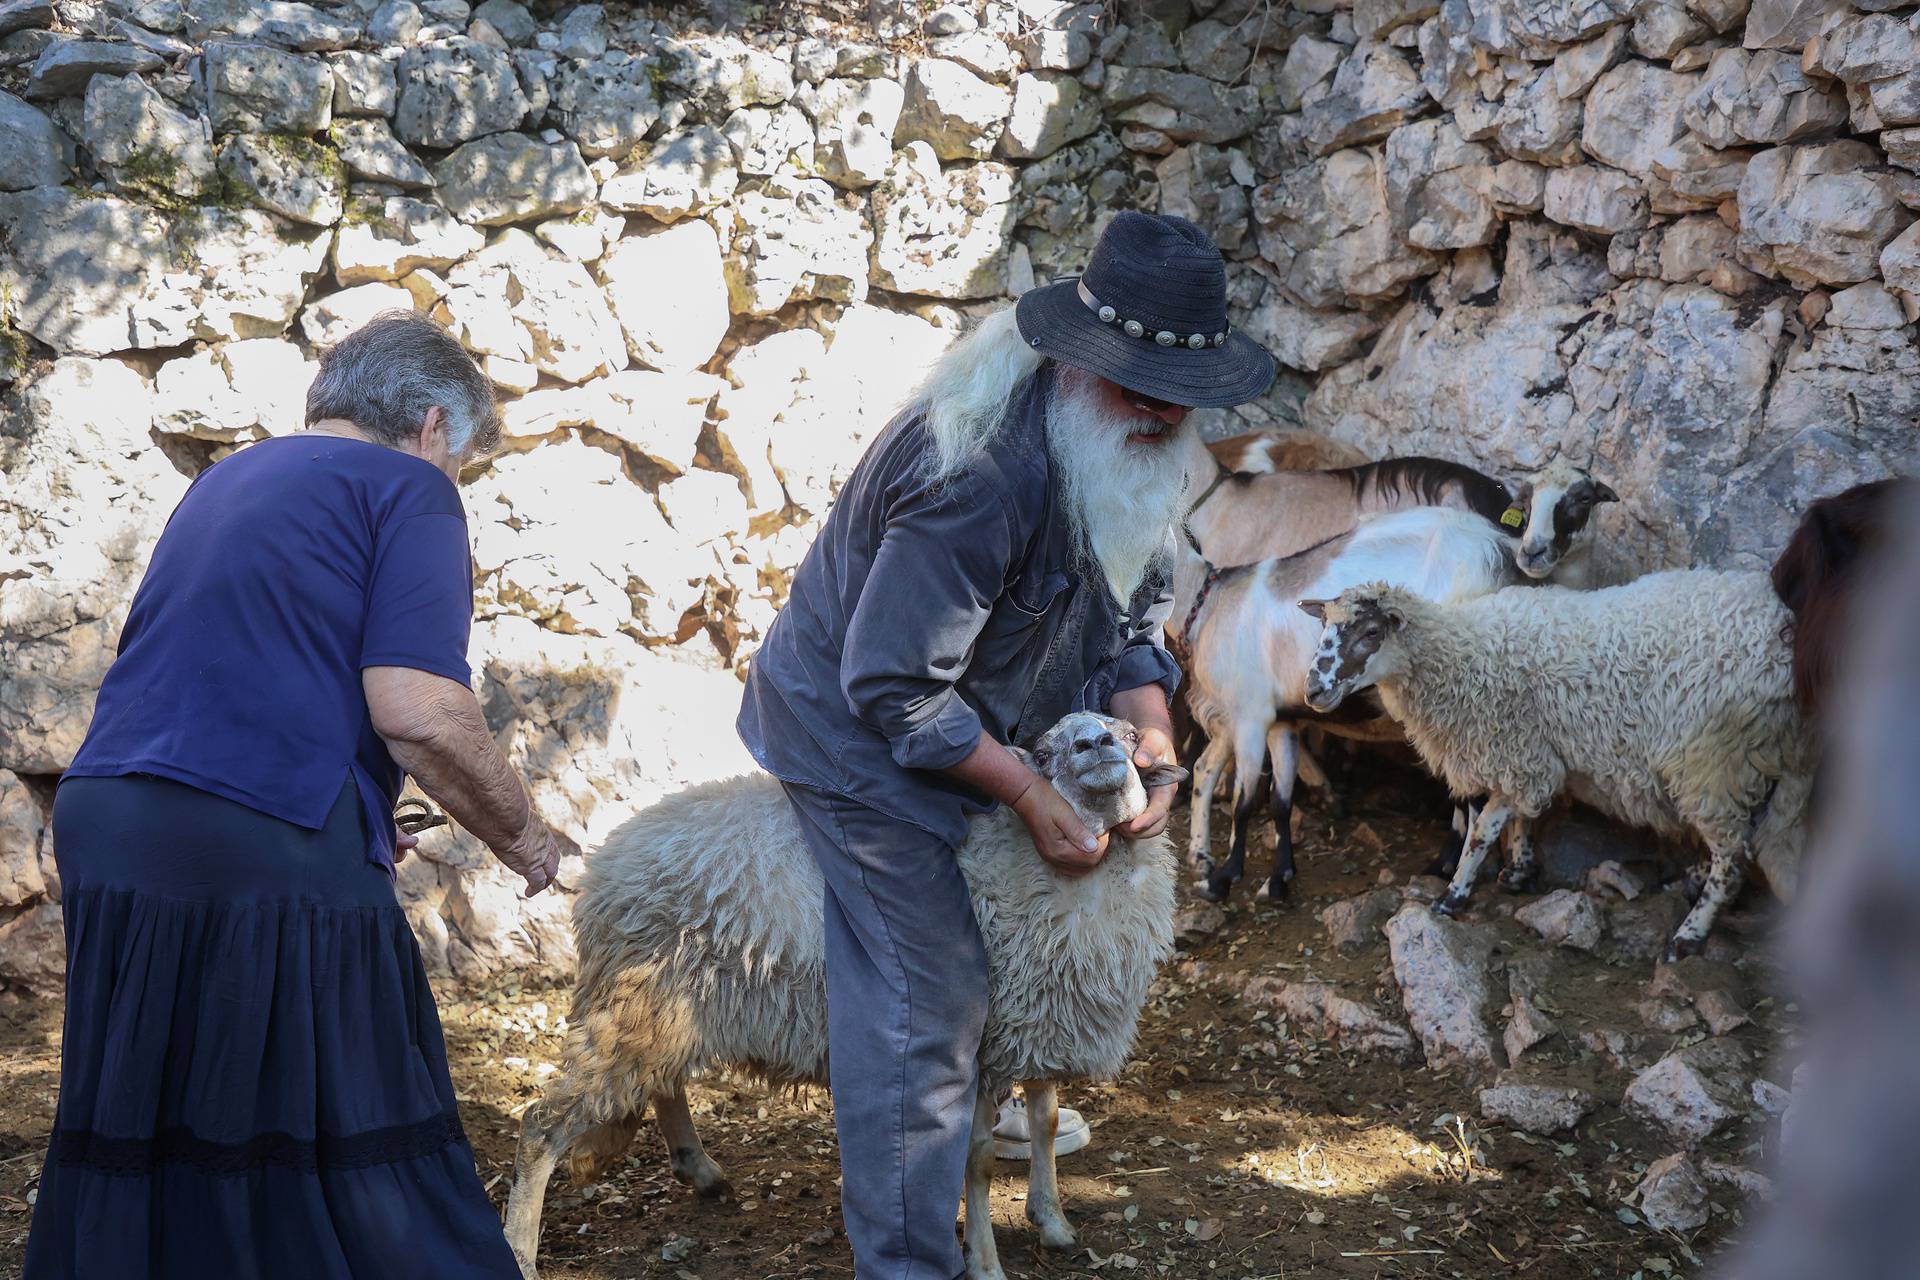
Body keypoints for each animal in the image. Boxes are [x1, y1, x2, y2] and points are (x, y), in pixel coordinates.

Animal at [499, 710, 1182, 1280]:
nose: (1097, 744)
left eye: (1127, 733)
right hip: (638, 1001)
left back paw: (700, 1170)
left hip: (667, 1004)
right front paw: (985, 1263)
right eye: (1041, 753)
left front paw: (1053, 1220)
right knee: (542, 1124)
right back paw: (521, 1249)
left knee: (663, 1083)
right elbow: (980, 1161)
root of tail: (603, 869)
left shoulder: (1040, 1015)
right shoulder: (984, 1045)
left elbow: (1044, 1120)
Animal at [1167, 506, 1528, 905]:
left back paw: (1471, 877)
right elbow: (1280, 801)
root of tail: (1501, 549)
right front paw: (1278, 880)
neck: (1209, 604)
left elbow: (1242, 803)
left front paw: (1222, 880)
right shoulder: (1280, 720)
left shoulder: (1250, 715)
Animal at [1297, 571, 1804, 959]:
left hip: (1713, 761)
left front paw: (1453, 895)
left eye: (1370, 633)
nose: (1313, 691)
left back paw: (1688, 935)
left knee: (1733, 857)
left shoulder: (1516, 752)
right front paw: (1519, 871)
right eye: (1322, 627)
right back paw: (1692, 880)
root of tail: (1781, 625)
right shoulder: (1528, 754)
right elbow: (1522, 814)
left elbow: (1482, 831)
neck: (1459, 654)